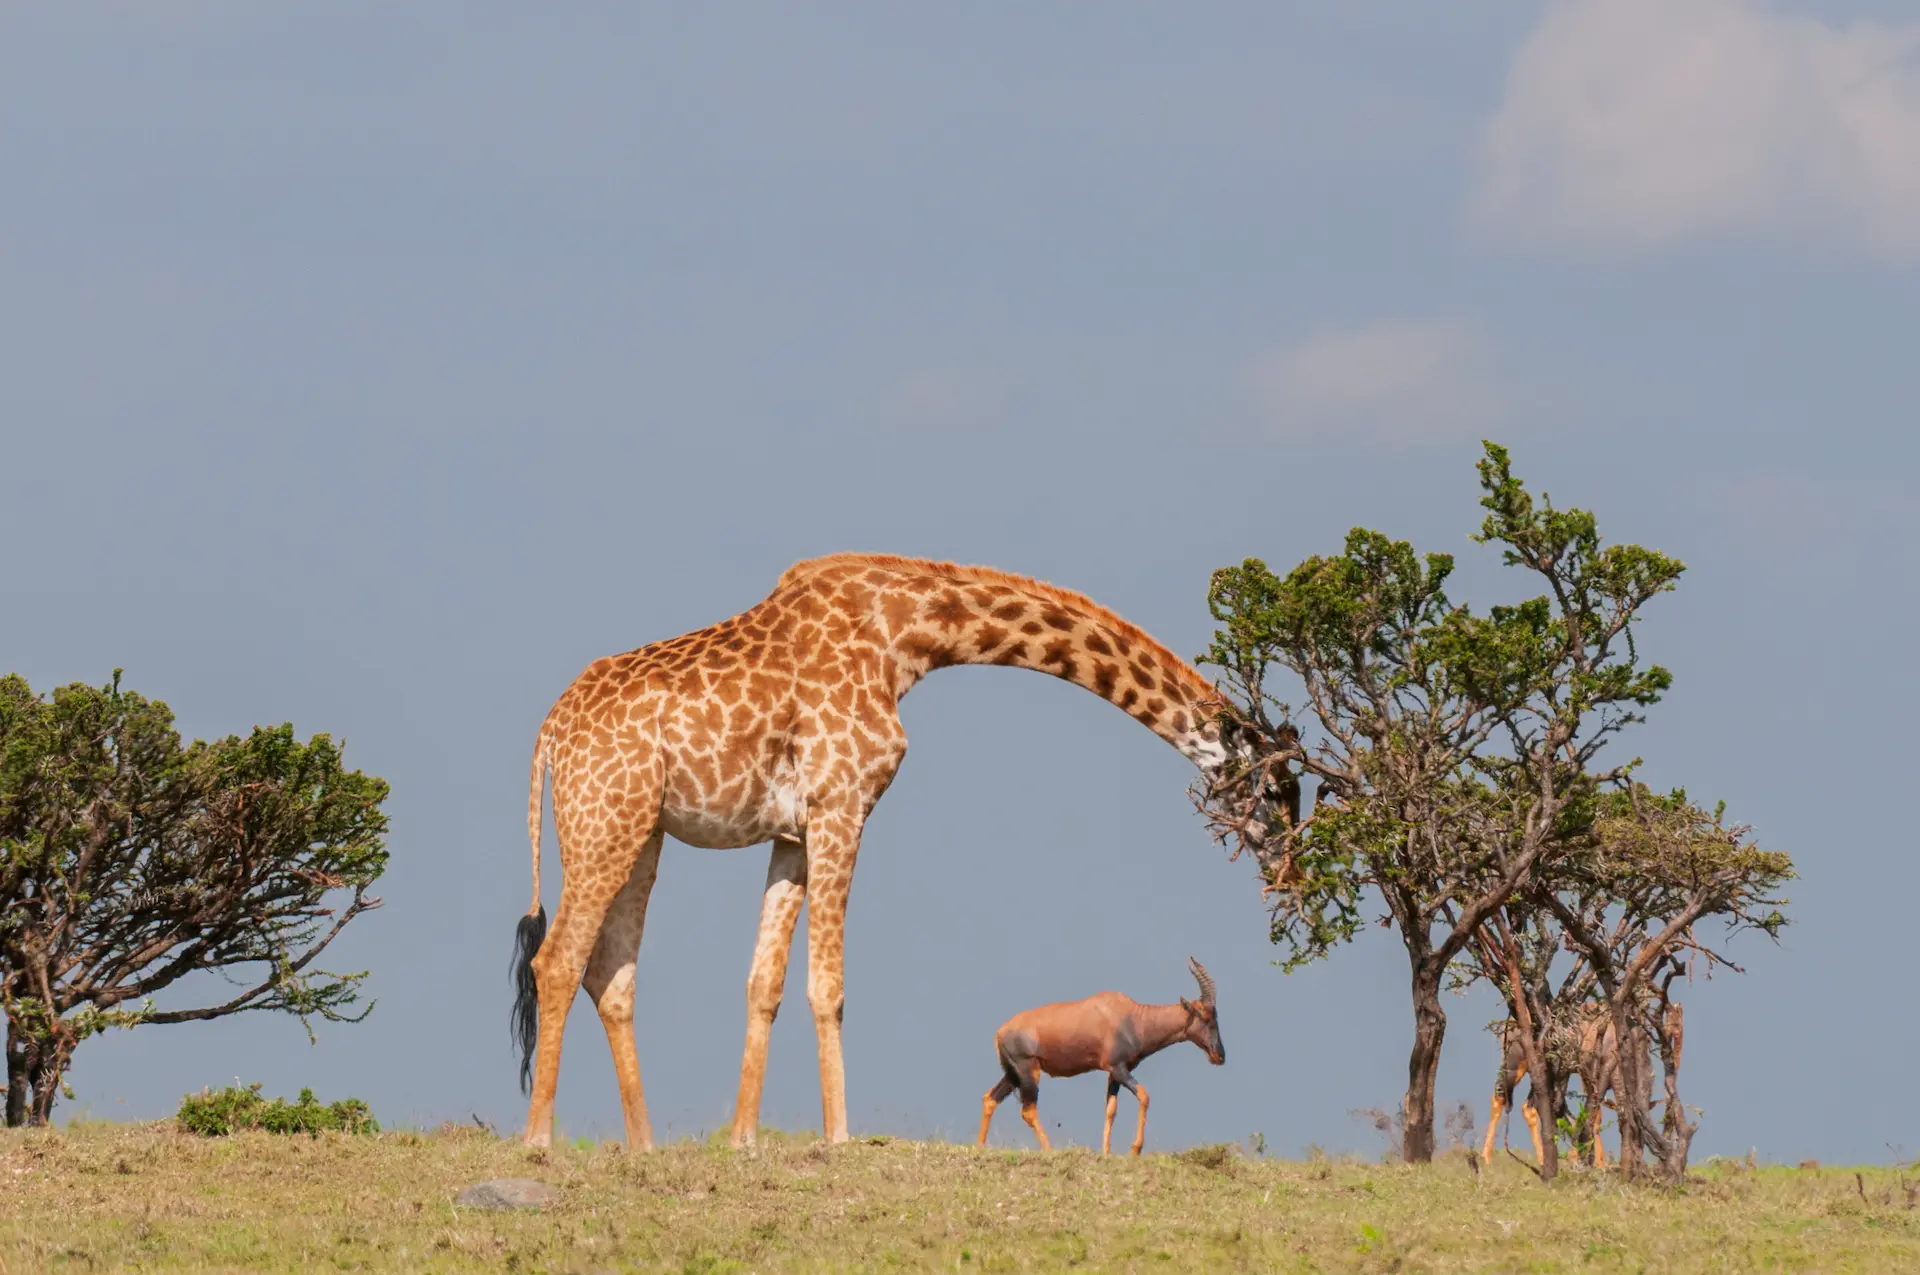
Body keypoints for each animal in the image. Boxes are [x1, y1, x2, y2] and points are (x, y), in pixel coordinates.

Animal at [511, 552, 1270, 1151]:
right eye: (1273, 781)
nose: (1277, 852)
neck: (909, 633)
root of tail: (549, 731)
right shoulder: (843, 802)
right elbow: (828, 984)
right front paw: (840, 1136)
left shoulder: (793, 829)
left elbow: (765, 982)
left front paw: (743, 1139)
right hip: (603, 821)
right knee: (557, 959)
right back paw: (539, 1138)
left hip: (642, 830)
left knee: (610, 973)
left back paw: (642, 1145)